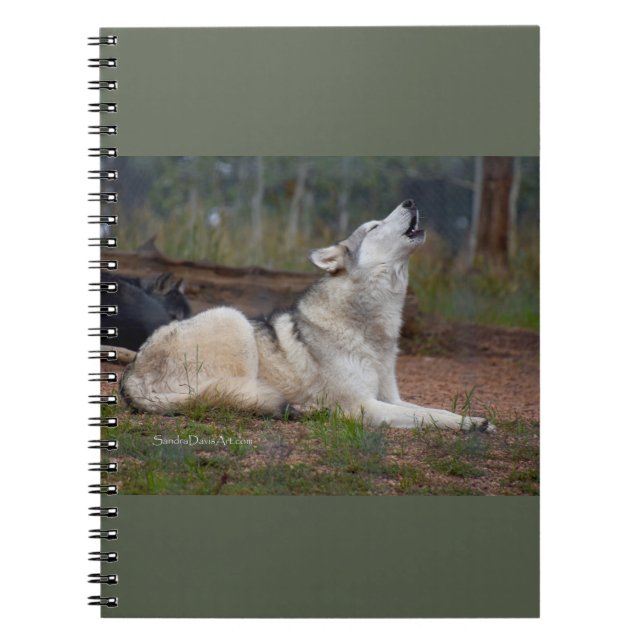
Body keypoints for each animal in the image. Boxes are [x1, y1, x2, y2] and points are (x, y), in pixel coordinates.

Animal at [121, 200, 494, 431]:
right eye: (374, 227)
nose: (410, 201)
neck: (370, 331)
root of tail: (131, 376)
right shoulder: (364, 406)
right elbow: (428, 419)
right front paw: (469, 426)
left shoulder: (391, 397)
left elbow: (435, 410)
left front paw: (476, 420)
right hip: (233, 319)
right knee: (236, 398)